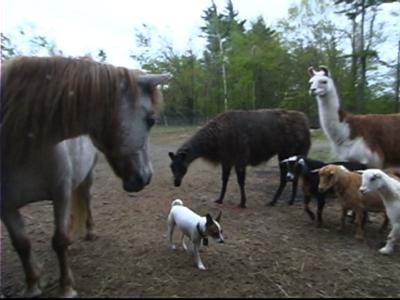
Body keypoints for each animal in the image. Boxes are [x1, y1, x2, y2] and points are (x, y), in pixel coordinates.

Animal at [0, 56, 170, 298]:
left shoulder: (60, 194)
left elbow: (59, 241)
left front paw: (66, 288)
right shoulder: (6, 206)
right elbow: (22, 244)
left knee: (86, 202)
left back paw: (89, 232)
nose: (146, 177)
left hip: (87, 178)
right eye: (151, 120)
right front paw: (33, 285)